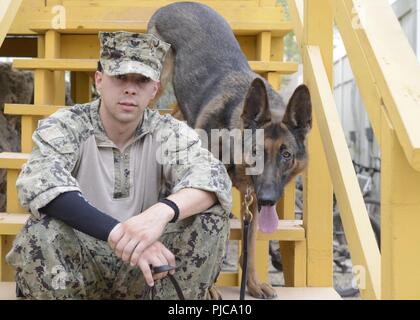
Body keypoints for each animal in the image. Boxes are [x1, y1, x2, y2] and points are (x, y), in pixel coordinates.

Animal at [148, 1, 312, 298]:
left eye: (286, 155)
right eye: (256, 152)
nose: (269, 199)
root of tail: (174, 5)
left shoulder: (254, 201)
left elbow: (250, 244)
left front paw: (253, 284)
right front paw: (210, 288)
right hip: (157, 82)